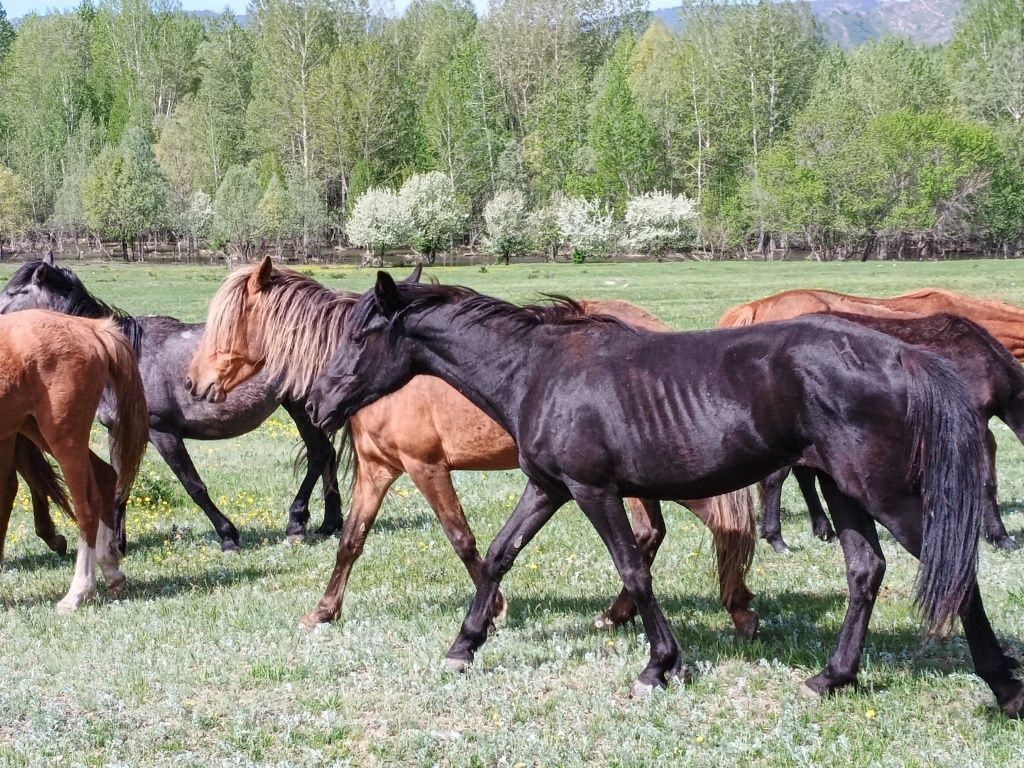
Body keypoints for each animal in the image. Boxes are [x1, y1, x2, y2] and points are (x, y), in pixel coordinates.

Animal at [0, 256, 344, 548]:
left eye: (12, 292)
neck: (126, 357)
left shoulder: (162, 433)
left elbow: (194, 485)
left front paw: (228, 536)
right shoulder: (120, 431)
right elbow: (119, 483)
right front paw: (117, 544)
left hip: (301, 409)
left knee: (319, 454)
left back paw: (297, 523)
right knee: (328, 455)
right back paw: (330, 523)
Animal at [0, 309, 148, 618]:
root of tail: (89, 328)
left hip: (63, 436)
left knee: (87, 505)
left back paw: (78, 592)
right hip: (36, 429)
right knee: (105, 476)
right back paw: (110, 569)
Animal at [184, 262, 761, 638]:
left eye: (226, 322)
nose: (192, 384)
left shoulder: (426, 467)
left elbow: (463, 540)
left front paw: (495, 608)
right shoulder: (377, 470)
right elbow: (351, 541)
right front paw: (324, 611)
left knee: (717, 522)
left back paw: (736, 610)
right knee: (652, 533)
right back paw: (623, 613)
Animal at [303, 274, 1024, 720]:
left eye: (361, 337)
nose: (318, 404)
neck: (537, 372)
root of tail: (906, 357)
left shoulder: (593, 490)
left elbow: (633, 568)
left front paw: (661, 665)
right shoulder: (548, 487)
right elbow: (500, 555)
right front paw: (463, 646)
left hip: (884, 491)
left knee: (952, 573)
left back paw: (1004, 686)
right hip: (843, 490)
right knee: (865, 571)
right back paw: (831, 676)